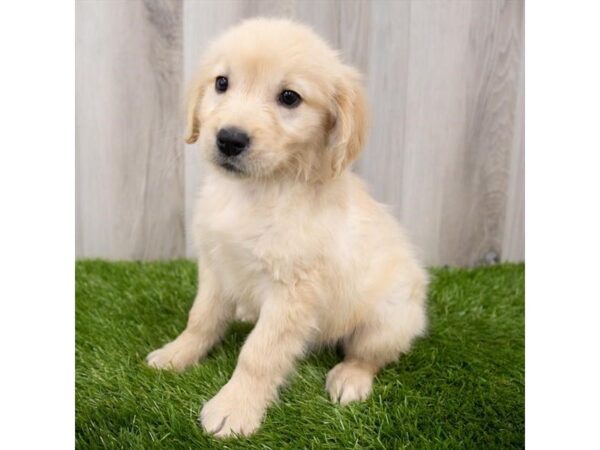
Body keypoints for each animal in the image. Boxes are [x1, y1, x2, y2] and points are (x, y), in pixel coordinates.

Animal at [146, 18, 426, 440]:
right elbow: (201, 318)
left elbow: (259, 354)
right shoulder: (215, 265)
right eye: (222, 83)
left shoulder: (293, 291)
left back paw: (350, 378)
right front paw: (177, 353)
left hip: (388, 319)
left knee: (369, 355)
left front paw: (234, 407)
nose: (229, 139)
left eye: (290, 98)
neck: (258, 190)